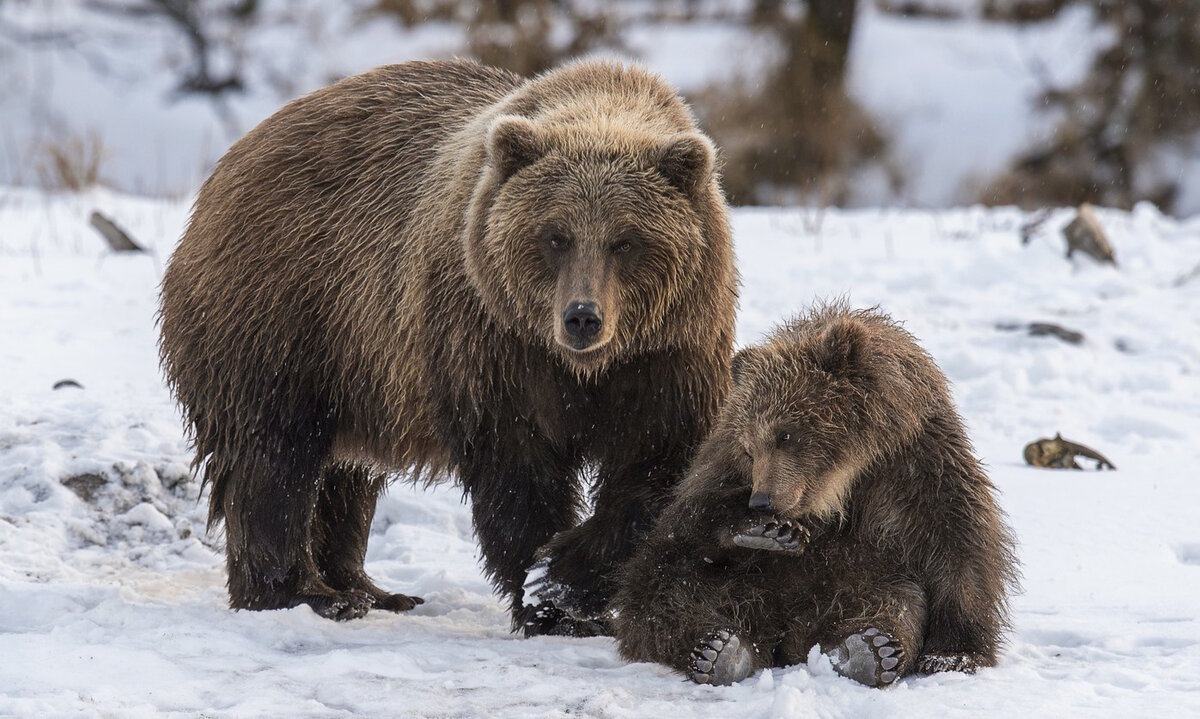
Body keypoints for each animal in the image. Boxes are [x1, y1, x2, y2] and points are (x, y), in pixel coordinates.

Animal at [154, 60, 734, 633]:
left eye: (625, 240)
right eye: (555, 235)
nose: (582, 317)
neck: (583, 368)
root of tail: (229, 162)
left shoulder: (668, 354)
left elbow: (658, 466)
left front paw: (564, 577)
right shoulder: (494, 345)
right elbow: (518, 475)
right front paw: (543, 593)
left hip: (359, 371)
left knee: (345, 478)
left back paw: (371, 588)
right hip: (284, 314)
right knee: (273, 456)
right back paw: (305, 593)